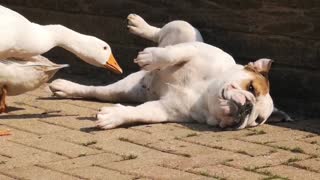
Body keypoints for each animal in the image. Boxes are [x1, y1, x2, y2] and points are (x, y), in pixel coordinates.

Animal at [48, 13, 292, 129]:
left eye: (257, 119)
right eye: (251, 87)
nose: (248, 106)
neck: (206, 93)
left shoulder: (166, 110)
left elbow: (140, 113)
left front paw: (114, 116)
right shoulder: (195, 50)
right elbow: (172, 54)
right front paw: (150, 57)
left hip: (129, 91)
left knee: (98, 92)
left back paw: (66, 88)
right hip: (185, 31)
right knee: (163, 34)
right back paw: (140, 26)